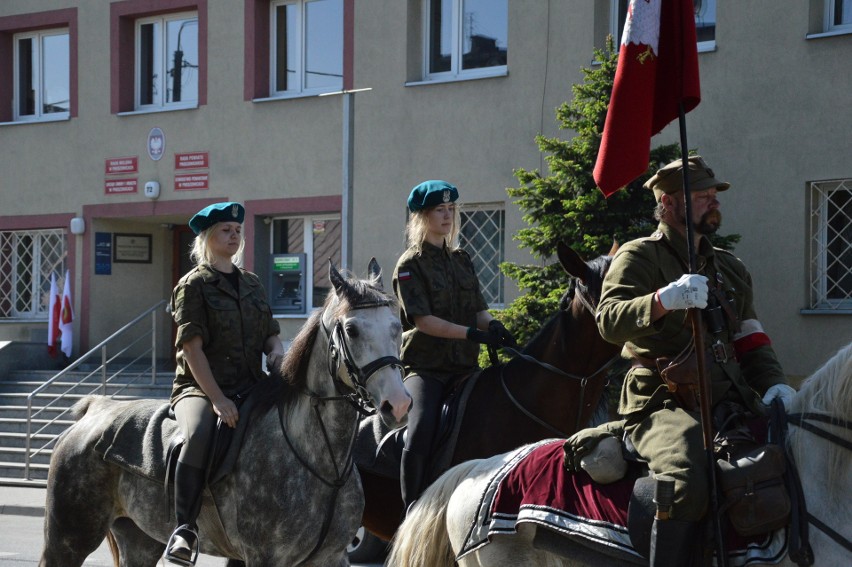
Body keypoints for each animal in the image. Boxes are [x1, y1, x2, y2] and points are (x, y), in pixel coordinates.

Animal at [40, 260, 412, 567]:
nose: (398, 404)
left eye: (397, 326)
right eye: (351, 330)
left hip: (139, 540)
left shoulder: (331, 558)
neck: (321, 462)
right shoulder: (264, 558)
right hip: (68, 540)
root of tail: (95, 411)